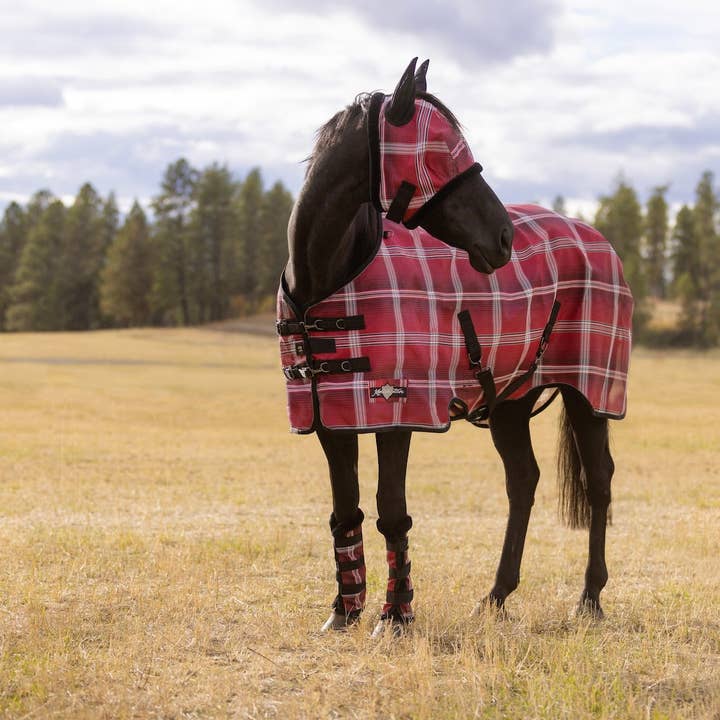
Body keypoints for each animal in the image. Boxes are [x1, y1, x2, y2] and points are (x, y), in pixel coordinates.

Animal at [277, 58, 633, 636]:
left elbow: (391, 510)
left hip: (590, 390)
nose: (504, 239)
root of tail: (596, 238)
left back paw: (590, 599)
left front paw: (395, 619)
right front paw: (344, 612)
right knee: (523, 481)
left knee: (599, 481)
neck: (329, 274)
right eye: (441, 151)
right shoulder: (329, 414)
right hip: (511, 400)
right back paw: (495, 597)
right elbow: (346, 509)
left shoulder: (397, 408)